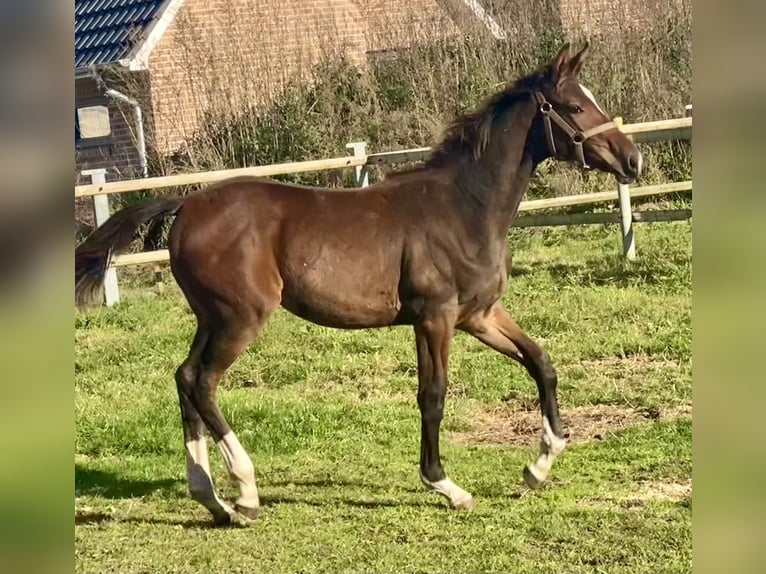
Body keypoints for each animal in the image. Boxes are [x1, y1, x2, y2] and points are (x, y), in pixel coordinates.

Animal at [76, 44, 640, 528]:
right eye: (574, 105)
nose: (631, 159)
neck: (464, 206)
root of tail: (186, 204)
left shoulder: (479, 315)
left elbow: (541, 363)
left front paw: (538, 467)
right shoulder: (435, 317)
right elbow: (433, 394)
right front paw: (446, 486)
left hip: (211, 318)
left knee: (183, 377)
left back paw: (211, 498)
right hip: (240, 318)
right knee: (201, 382)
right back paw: (246, 492)